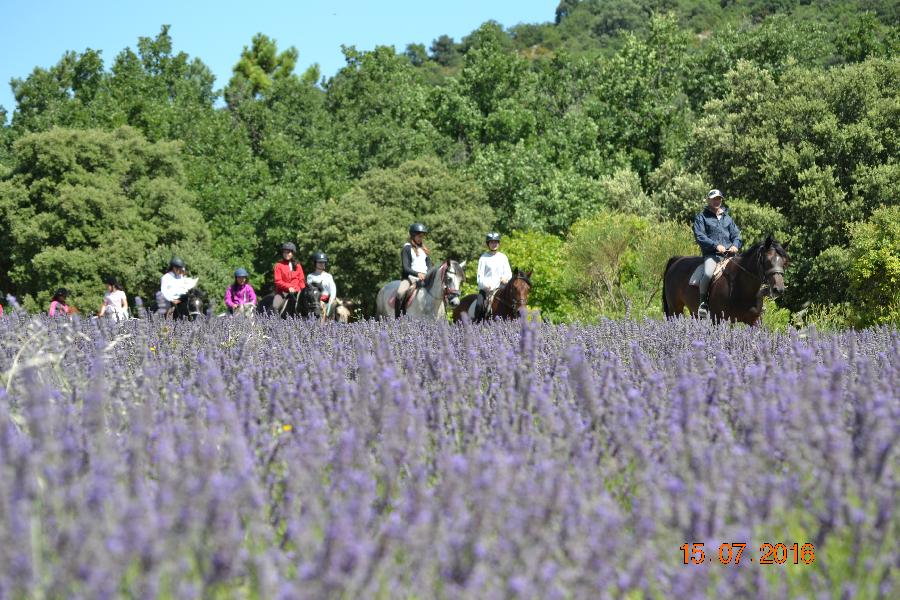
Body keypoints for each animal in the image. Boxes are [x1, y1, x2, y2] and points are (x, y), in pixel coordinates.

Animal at [660, 236, 788, 326]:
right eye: (767, 260)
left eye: (784, 262)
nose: (779, 289)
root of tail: (677, 260)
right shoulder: (717, 319)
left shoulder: (754, 321)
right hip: (675, 309)